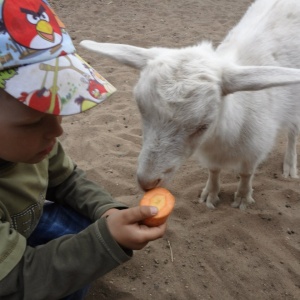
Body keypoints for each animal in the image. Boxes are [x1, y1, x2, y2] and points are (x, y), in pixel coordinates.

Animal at [79, 0, 300, 210]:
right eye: (141, 109)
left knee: (292, 133)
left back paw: (290, 166)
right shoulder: (212, 154)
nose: (147, 182)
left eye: (203, 125)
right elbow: (214, 170)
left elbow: (246, 173)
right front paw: (210, 194)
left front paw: (243, 198)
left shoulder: (256, 146)